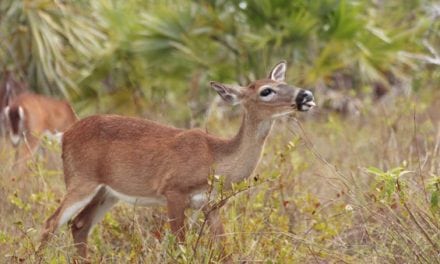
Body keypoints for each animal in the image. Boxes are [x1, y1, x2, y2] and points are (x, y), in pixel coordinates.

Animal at [37, 60, 312, 258]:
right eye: (266, 91)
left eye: (285, 82)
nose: (306, 95)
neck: (216, 159)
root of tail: (65, 135)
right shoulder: (173, 190)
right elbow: (179, 246)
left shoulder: (212, 206)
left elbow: (224, 250)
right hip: (81, 180)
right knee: (51, 223)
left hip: (107, 192)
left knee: (79, 225)